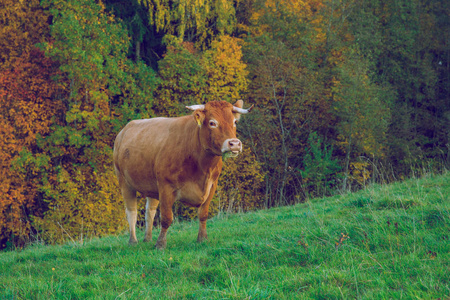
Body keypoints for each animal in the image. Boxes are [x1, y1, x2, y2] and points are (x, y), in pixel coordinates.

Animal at [112, 99, 253, 250]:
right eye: (212, 123)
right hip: (124, 181)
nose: (235, 144)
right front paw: (160, 244)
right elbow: (166, 218)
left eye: (235, 122)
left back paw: (147, 239)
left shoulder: (212, 185)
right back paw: (133, 241)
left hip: (152, 186)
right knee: (131, 211)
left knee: (150, 211)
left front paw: (202, 239)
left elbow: (203, 214)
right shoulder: (166, 186)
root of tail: (123, 131)